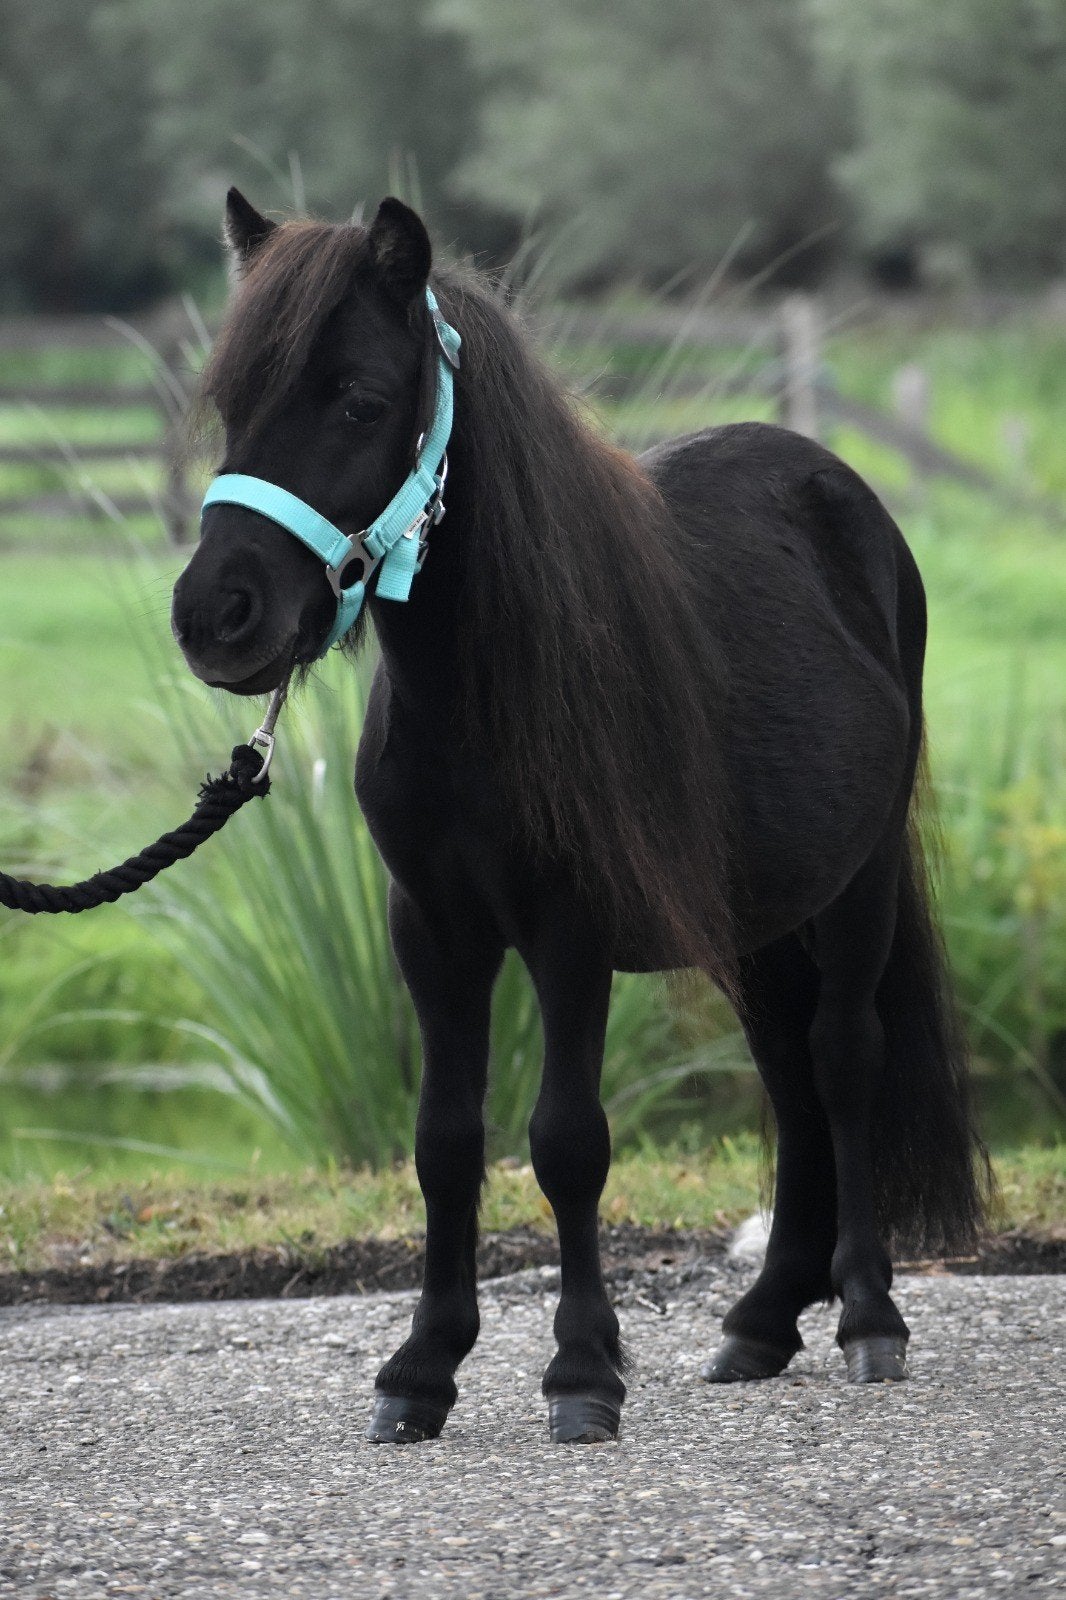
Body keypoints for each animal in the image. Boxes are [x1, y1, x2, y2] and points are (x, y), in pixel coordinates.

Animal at [171, 191, 988, 1445]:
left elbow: (566, 1141)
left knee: (843, 1058)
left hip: (857, 890)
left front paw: (582, 1371)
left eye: (358, 399)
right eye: (232, 402)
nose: (218, 615)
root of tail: (842, 497)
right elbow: (446, 1140)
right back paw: (762, 1320)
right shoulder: (432, 931)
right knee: (790, 1078)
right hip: (756, 925)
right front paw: (422, 1370)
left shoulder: (572, 929)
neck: (484, 690)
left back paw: (864, 1314)